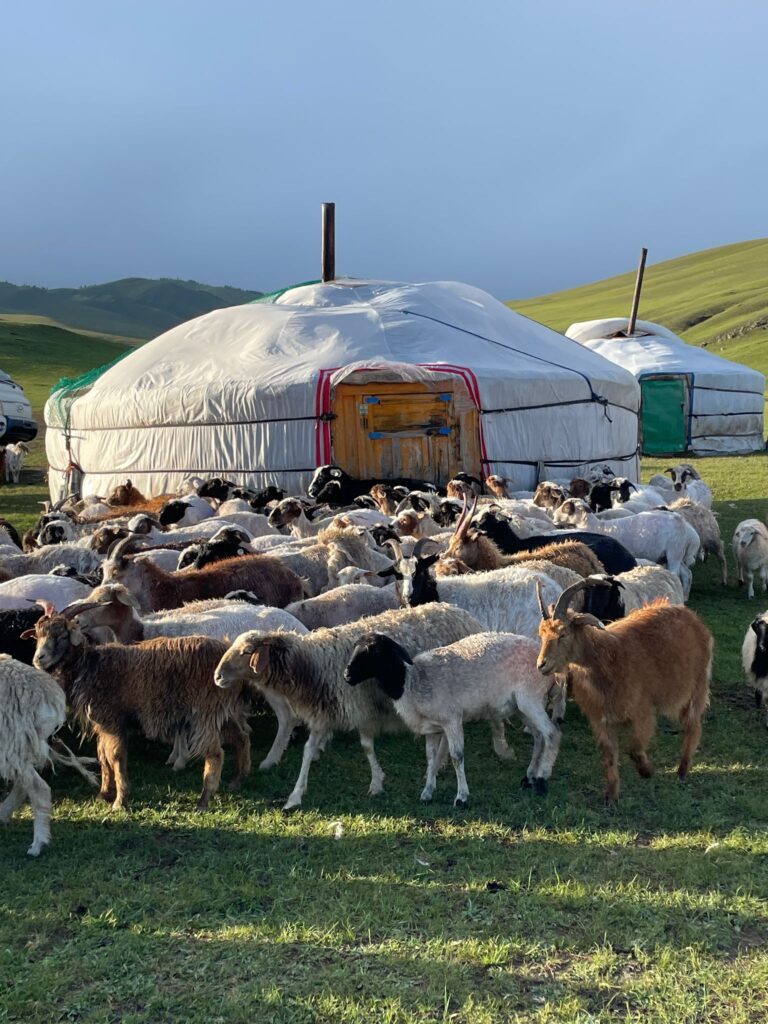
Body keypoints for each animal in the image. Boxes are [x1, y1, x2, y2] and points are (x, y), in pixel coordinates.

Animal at [214, 598, 483, 806]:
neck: (312, 664)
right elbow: (308, 751)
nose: (217, 677)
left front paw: (376, 782)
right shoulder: (322, 713)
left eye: (246, 652)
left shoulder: (360, 709)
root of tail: (459, 611)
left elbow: (366, 747)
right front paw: (295, 795)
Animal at [346, 630, 561, 806]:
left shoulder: (452, 720)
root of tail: (548, 662)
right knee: (539, 736)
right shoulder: (434, 728)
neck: (411, 683)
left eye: (373, 651)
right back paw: (530, 777)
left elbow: (456, 757)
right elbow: (432, 758)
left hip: (530, 698)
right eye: (354, 647)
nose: (346, 675)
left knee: (552, 734)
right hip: (521, 706)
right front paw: (427, 793)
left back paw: (542, 779)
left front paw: (462, 797)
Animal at [536, 581, 712, 802]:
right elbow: (610, 757)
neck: (607, 659)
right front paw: (611, 796)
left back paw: (682, 770)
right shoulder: (601, 720)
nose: (541, 665)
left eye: (563, 633)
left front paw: (647, 771)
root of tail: (693, 617)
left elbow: (635, 749)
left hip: (697, 686)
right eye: (541, 635)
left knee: (693, 726)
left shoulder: (643, 712)